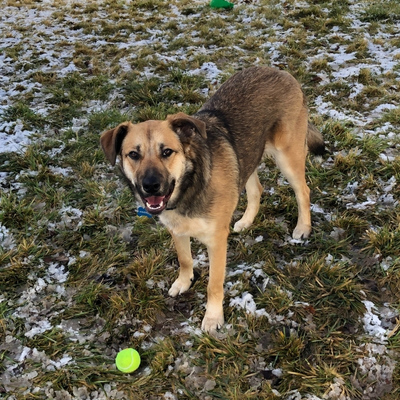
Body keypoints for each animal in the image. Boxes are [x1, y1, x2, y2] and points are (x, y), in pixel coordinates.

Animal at [100, 66, 324, 332]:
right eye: (133, 154)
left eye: (167, 152)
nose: (151, 187)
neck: (188, 186)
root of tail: (282, 72)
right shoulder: (177, 230)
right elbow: (185, 259)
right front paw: (184, 282)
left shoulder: (216, 241)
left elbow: (213, 284)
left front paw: (213, 317)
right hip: (246, 157)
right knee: (256, 189)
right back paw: (246, 221)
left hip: (287, 156)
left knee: (303, 191)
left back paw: (303, 227)